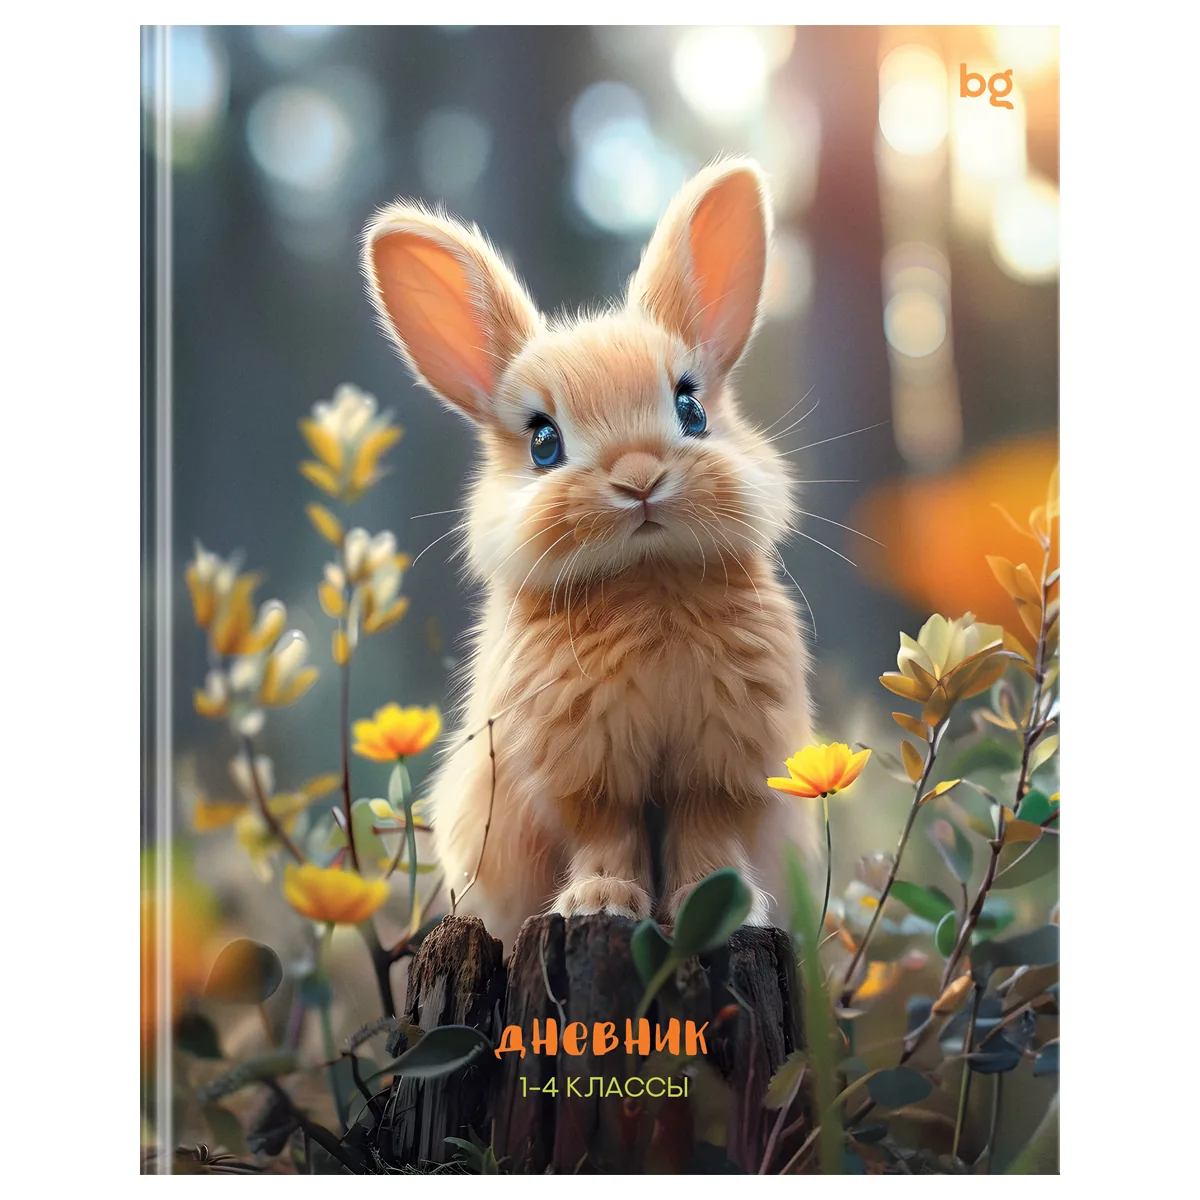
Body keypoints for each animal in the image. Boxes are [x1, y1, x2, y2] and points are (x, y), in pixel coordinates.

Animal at [362, 157, 816, 953]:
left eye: (691, 409)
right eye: (544, 442)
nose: (639, 479)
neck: (647, 580)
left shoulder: (719, 769)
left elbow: (705, 838)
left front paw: (721, 907)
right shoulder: (585, 775)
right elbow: (608, 839)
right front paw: (600, 904)